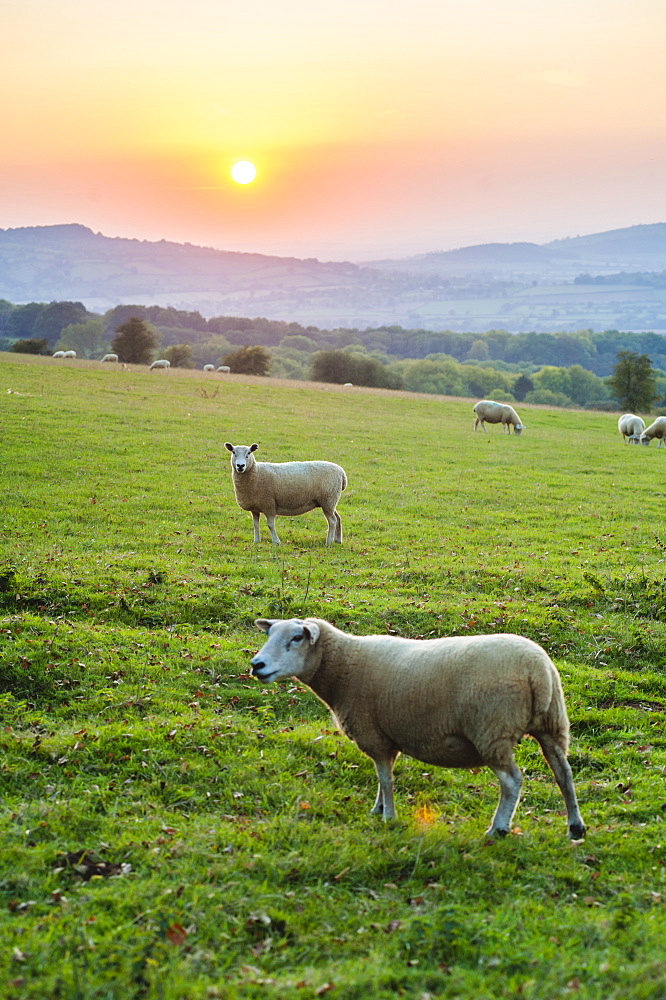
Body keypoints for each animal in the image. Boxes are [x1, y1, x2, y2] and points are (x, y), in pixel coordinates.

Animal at [252, 612, 584, 840]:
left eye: (296, 638)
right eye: (270, 635)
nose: (257, 665)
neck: (343, 666)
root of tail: (536, 669)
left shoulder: (374, 735)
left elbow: (386, 779)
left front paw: (388, 817)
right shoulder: (387, 737)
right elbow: (382, 778)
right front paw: (378, 809)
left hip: (492, 730)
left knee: (512, 781)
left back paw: (498, 828)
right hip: (552, 725)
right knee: (564, 774)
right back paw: (575, 827)